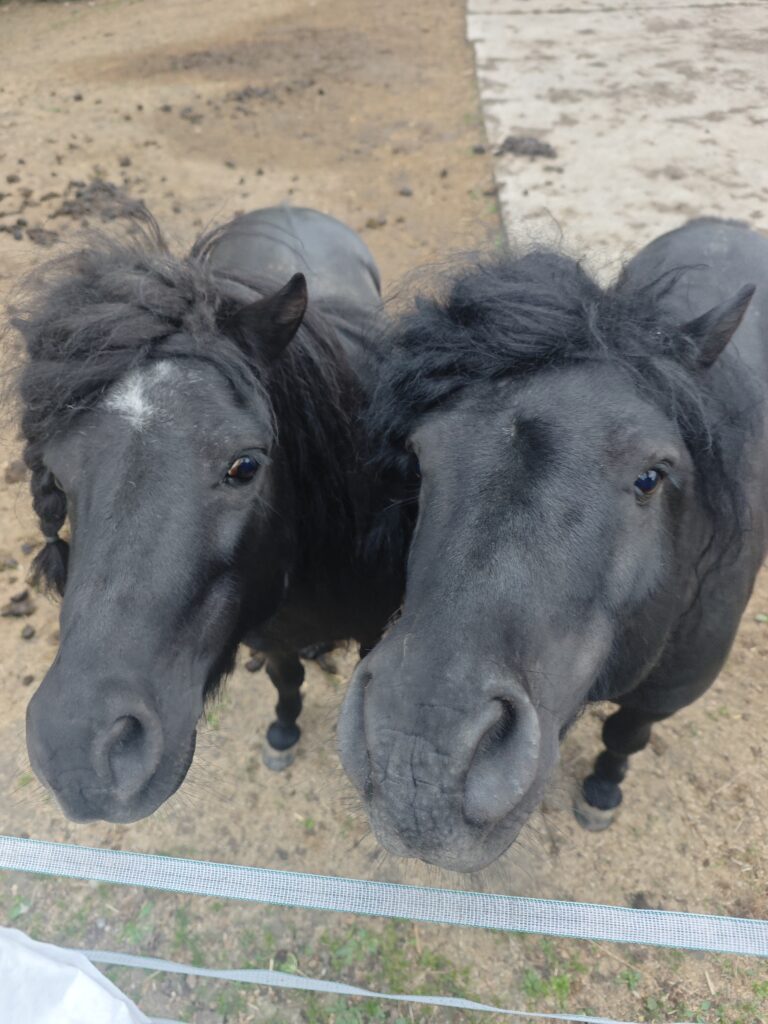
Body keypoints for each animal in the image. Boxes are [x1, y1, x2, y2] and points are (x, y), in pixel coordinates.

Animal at [13, 203, 404, 824]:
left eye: (245, 465)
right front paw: (283, 733)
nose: (79, 753)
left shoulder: (376, 631)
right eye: (58, 474)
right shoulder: (269, 639)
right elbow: (287, 679)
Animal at [337, 217, 768, 873]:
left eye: (651, 476)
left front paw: (602, 790)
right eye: (420, 458)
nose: (417, 752)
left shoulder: (662, 696)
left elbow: (625, 735)